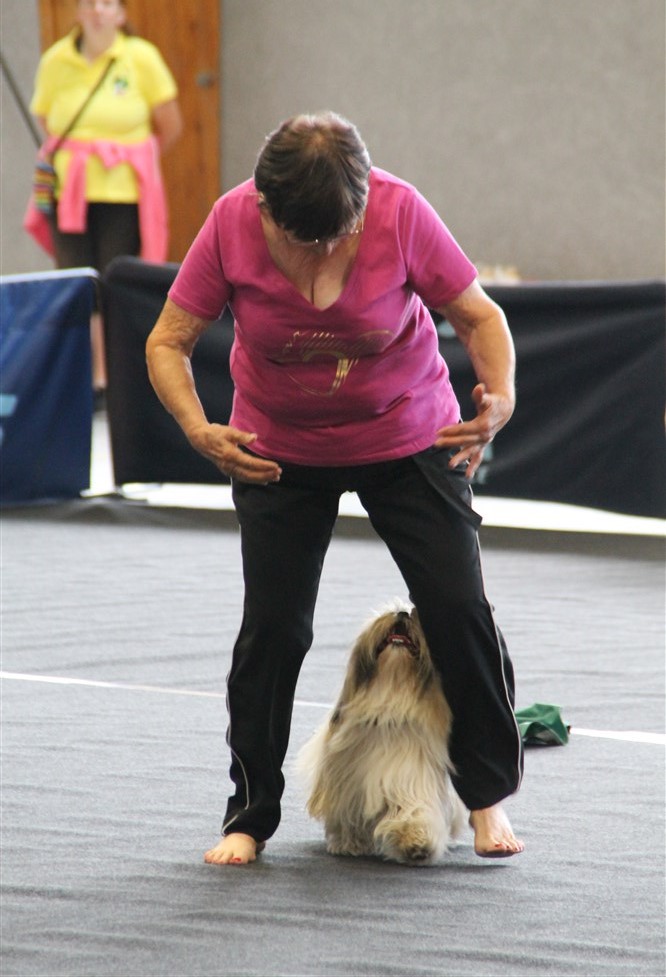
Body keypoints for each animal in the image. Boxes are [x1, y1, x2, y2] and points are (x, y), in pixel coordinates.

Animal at [297, 602, 467, 865]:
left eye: (413, 615)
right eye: (387, 613)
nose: (402, 613)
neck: (388, 704)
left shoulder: (411, 778)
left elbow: (414, 811)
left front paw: (416, 843)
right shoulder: (348, 786)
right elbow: (348, 820)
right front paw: (349, 844)